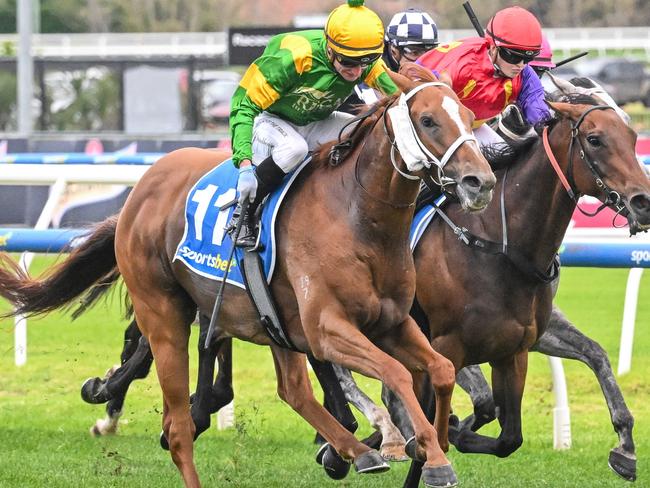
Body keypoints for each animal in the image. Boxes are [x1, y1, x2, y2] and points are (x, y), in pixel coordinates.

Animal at [0, 65, 492, 488]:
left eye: (470, 117)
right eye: (427, 120)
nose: (479, 182)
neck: (357, 218)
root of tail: (141, 190)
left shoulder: (391, 322)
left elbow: (441, 369)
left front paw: (433, 446)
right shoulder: (328, 330)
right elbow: (398, 373)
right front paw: (431, 455)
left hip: (269, 321)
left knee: (292, 390)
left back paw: (356, 451)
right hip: (165, 314)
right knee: (177, 426)